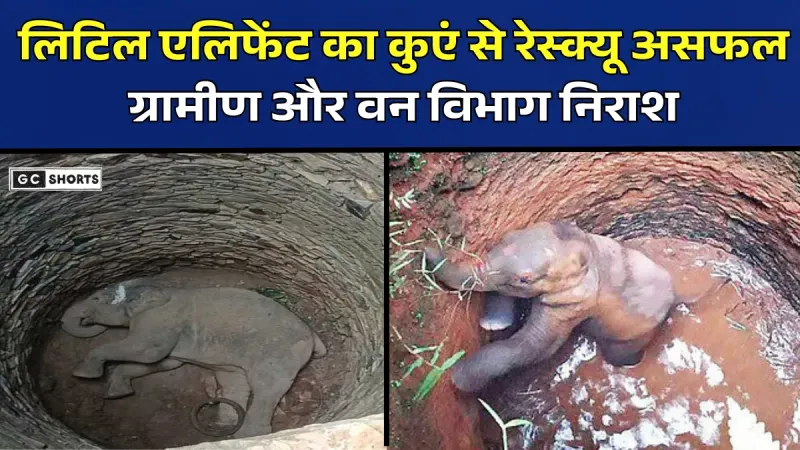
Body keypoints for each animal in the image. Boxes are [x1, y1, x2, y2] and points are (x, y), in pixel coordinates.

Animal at [60, 281, 327, 438]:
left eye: (96, 299)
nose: (84, 321)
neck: (158, 289)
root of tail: (313, 336)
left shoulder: (160, 319)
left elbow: (147, 352)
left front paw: (83, 374)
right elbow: (164, 362)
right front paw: (117, 393)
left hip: (278, 350)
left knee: (265, 387)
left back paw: (248, 436)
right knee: (234, 381)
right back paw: (223, 425)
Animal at [425, 221, 728, 393]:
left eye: (525, 278)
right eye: (505, 237)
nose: (427, 248)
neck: (587, 245)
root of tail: (678, 294)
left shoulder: (575, 301)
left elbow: (538, 346)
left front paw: (457, 378)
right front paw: (494, 323)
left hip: (635, 333)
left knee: (619, 355)